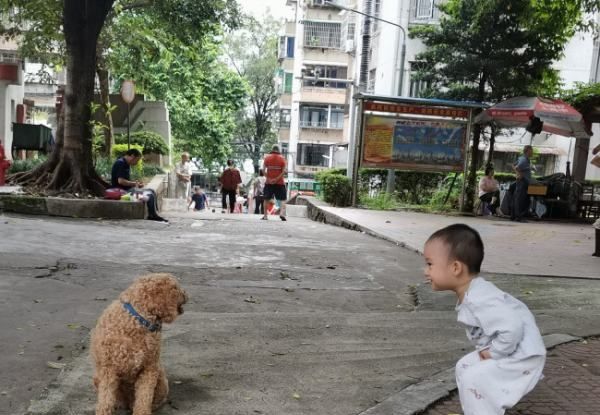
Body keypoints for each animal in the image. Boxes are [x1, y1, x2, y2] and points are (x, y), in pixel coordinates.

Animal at [91, 272, 188, 415]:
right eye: (175, 287)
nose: (187, 295)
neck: (138, 319)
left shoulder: (149, 368)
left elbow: (144, 396)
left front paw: (142, 411)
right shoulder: (108, 369)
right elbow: (106, 399)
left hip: (161, 380)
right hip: (98, 377)